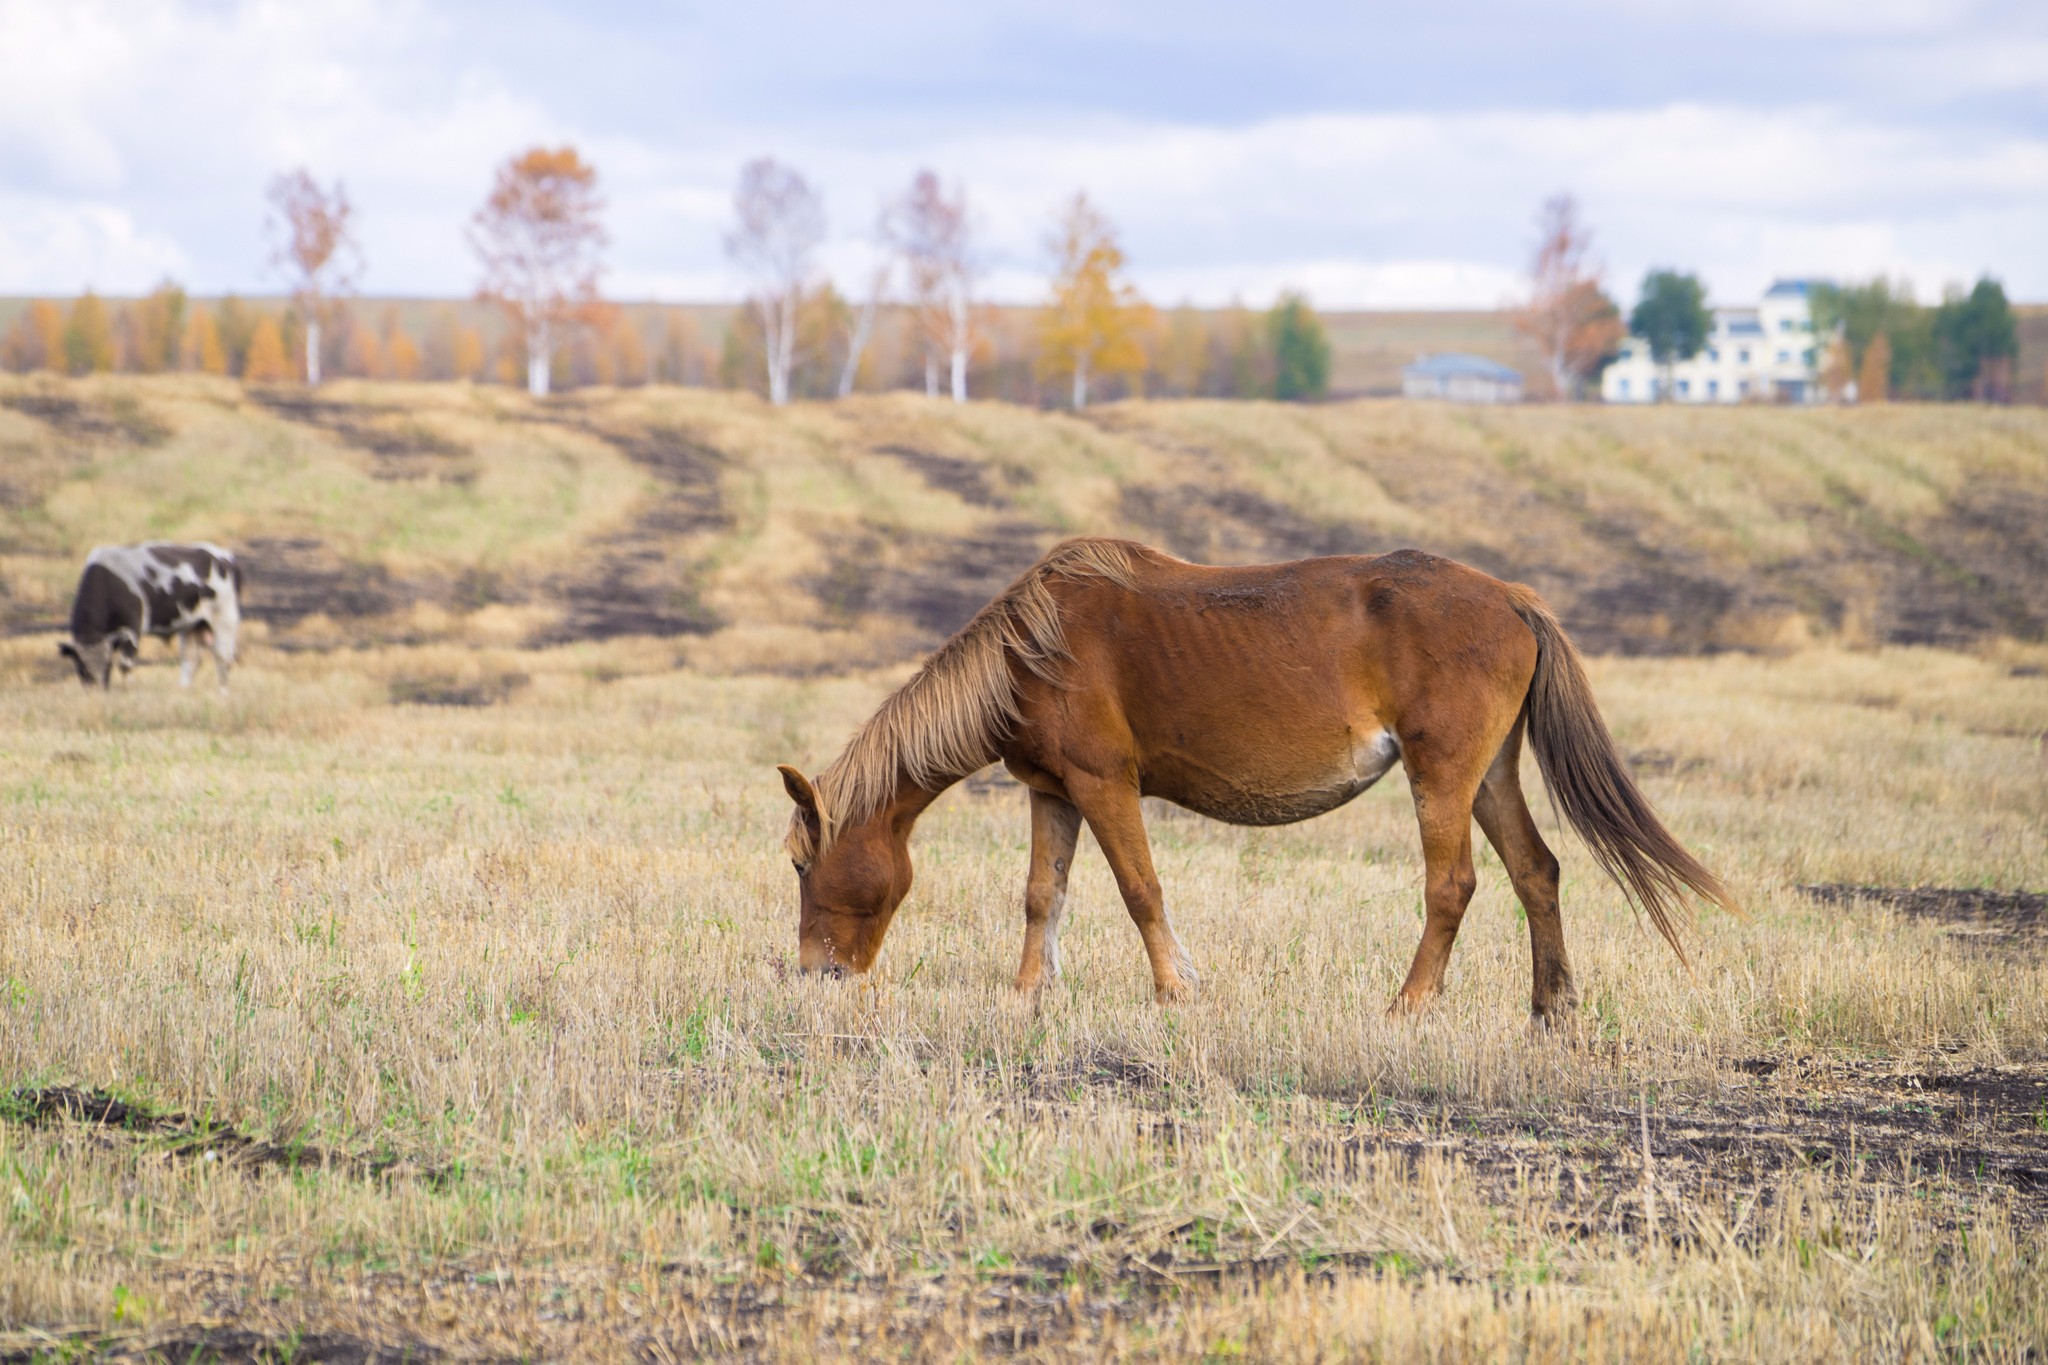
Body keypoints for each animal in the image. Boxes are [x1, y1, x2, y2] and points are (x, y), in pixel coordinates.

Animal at [61, 540, 243, 687]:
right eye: (82, 668)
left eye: (107, 665)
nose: (97, 690)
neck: (106, 582)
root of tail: (225, 556)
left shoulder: (131, 629)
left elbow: (126, 664)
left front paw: (128, 689)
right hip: (191, 627)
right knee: (190, 660)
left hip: (224, 621)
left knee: (222, 658)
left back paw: (223, 693)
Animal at [774, 540, 1736, 1019]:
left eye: (799, 863)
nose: (814, 974)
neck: (1032, 648)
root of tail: (1511, 597)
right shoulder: (1053, 791)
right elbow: (1043, 896)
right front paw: (1024, 995)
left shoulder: (1103, 782)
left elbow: (1140, 889)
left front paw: (1175, 989)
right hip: (1491, 774)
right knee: (1538, 871)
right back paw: (1552, 1006)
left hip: (1443, 774)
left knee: (1453, 884)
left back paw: (1409, 1003)